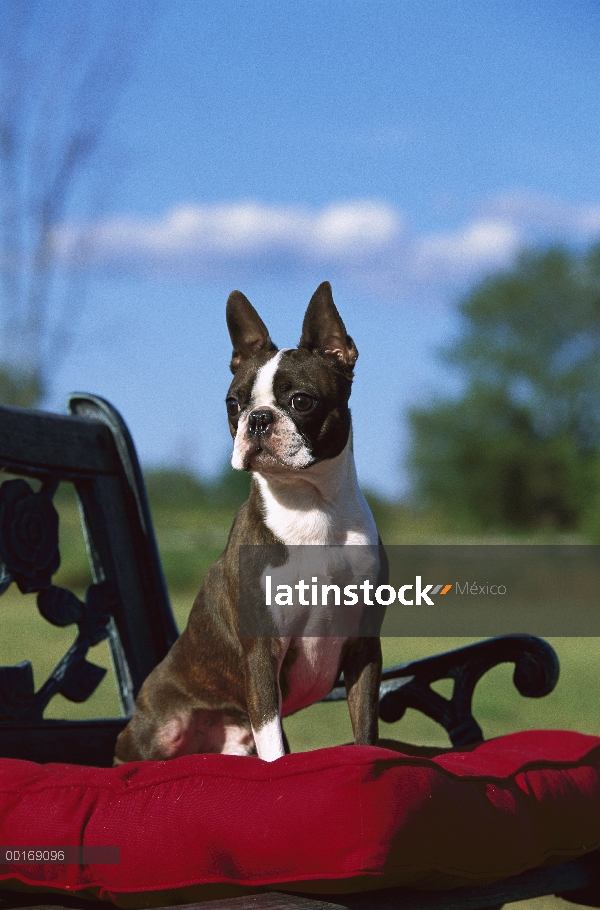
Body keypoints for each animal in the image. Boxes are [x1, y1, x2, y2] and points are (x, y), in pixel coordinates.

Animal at [113, 282, 384, 764]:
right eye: (232, 403)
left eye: (301, 400)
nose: (257, 418)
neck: (312, 510)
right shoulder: (262, 653)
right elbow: (272, 742)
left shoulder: (364, 646)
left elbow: (365, 725)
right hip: (160, 729)